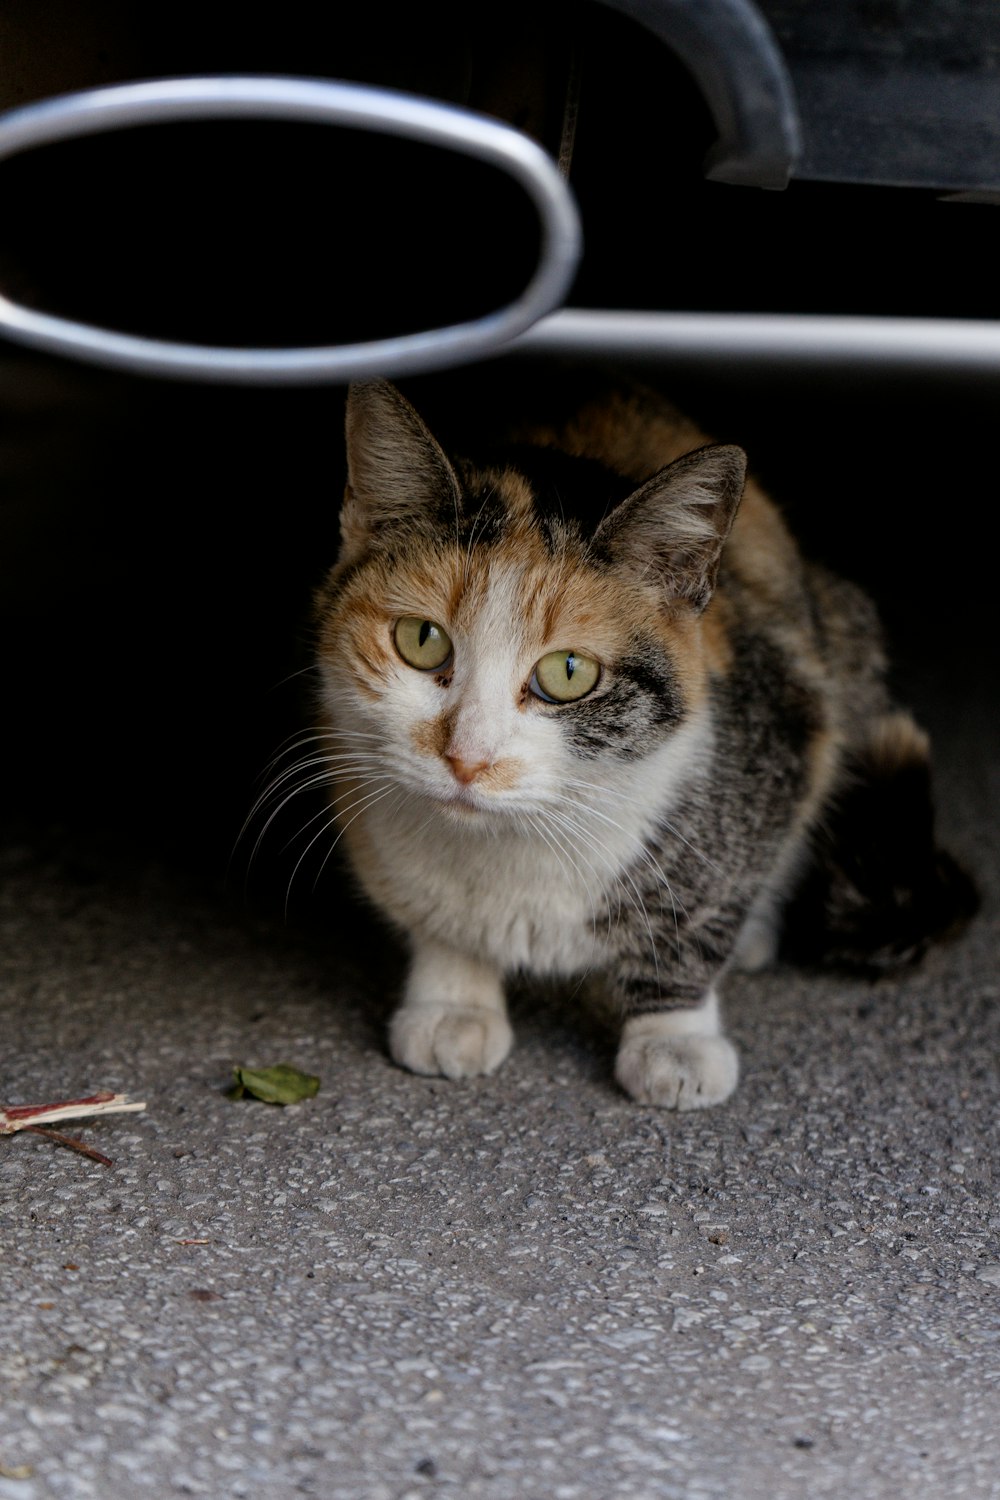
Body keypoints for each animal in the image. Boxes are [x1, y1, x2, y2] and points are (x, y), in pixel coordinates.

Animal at [307, 369, 977, 1110]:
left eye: (568, 673)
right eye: (422, 640)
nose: (467, 758)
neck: (511, 844)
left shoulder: (785, 725)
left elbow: (693, 922)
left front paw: (674, 1042)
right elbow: (436, 924)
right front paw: (453, 1004)